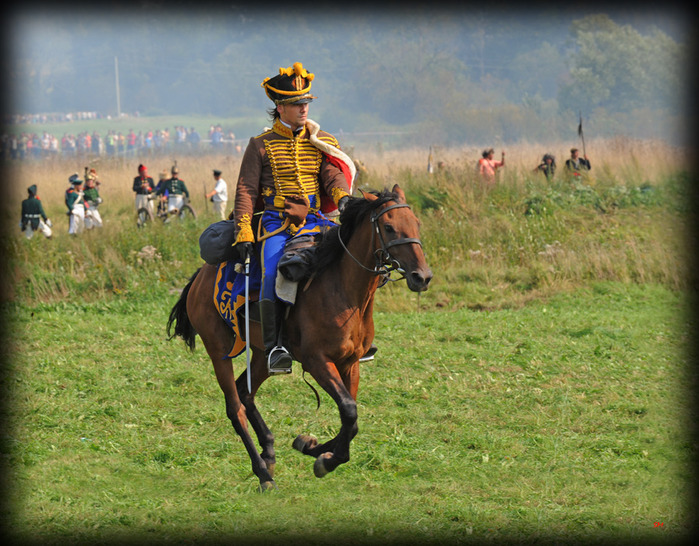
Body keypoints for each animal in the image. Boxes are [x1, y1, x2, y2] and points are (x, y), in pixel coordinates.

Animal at [168, 184, 432, 488]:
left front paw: (313, 448)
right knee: (235, 407)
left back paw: (269, 451)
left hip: (263, 354)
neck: (343, 291)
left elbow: (350, 418)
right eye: (388, 227)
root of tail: (200, 277)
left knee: (245, 392)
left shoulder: (350, 363)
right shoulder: (317, 362)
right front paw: (325, 459)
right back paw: (262, 472)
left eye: (416, 224)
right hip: (218, 351)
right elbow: (349, 411)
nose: (422, 276)